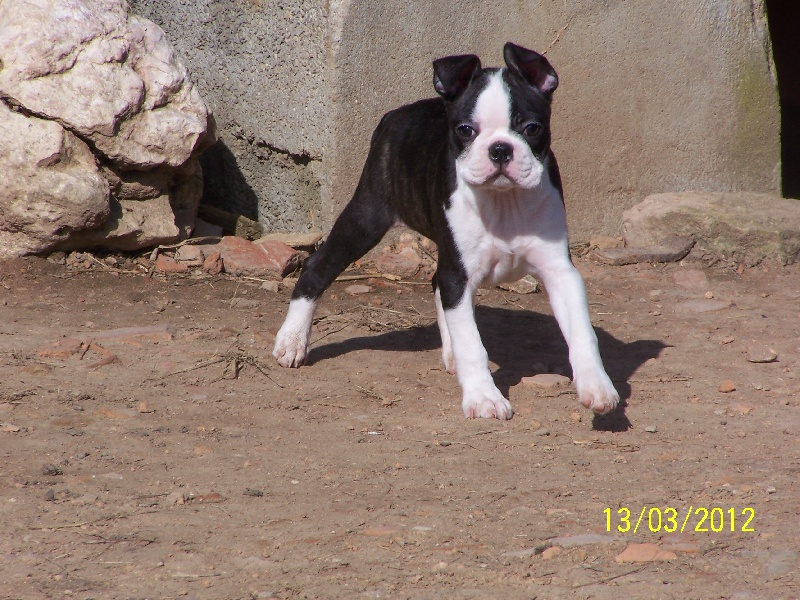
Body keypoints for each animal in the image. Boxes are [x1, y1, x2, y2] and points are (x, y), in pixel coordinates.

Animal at [273, 42, 619, 420]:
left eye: (531, 128)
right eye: (466, 130)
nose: (500, 148)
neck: (504, 201)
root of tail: (395, 114)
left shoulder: (560, 272)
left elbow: (583, 334)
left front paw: (597, 386)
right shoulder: (459, 274)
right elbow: (473, 344)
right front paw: (484, 397)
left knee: (437, 285)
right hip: (366, 218)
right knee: (317, 268)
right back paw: (292, 341)